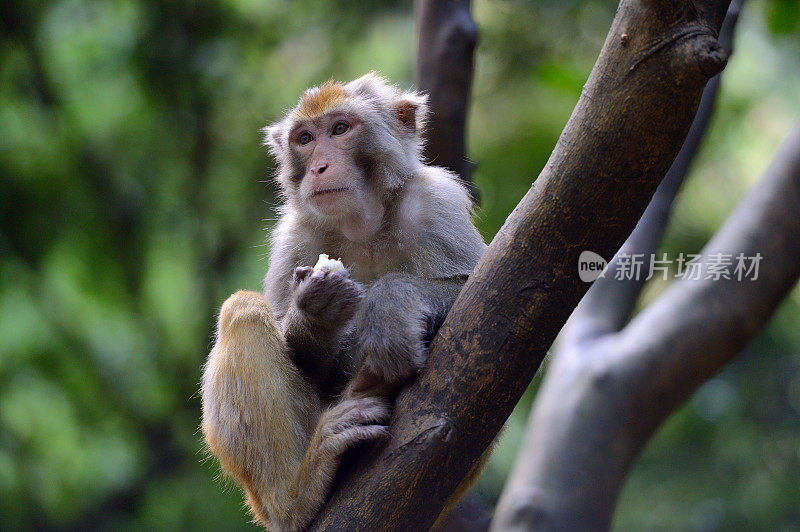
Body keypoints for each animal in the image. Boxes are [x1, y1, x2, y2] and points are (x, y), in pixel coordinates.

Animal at [202, 72, 488, 528]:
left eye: (339, 129)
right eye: (304, 138)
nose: (319, 166)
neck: (362, 225)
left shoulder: (435, 202)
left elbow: (480, 289)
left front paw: (389, 305)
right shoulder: (294, 237)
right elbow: (301, 356)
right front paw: (315, 312)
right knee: (242, 311)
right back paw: (295, 497)